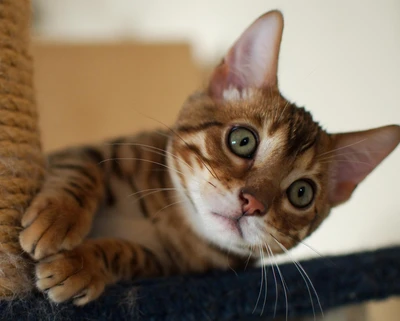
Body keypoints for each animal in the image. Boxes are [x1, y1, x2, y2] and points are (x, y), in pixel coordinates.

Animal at [18, 9, 396, 308]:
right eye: (242, 140)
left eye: (301, 193)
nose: (252, 203)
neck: (172, 219)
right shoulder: (94, 150)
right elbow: (82, 168)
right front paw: (58, 218)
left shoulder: (170, 268)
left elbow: (128, 254)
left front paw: (80, 264)